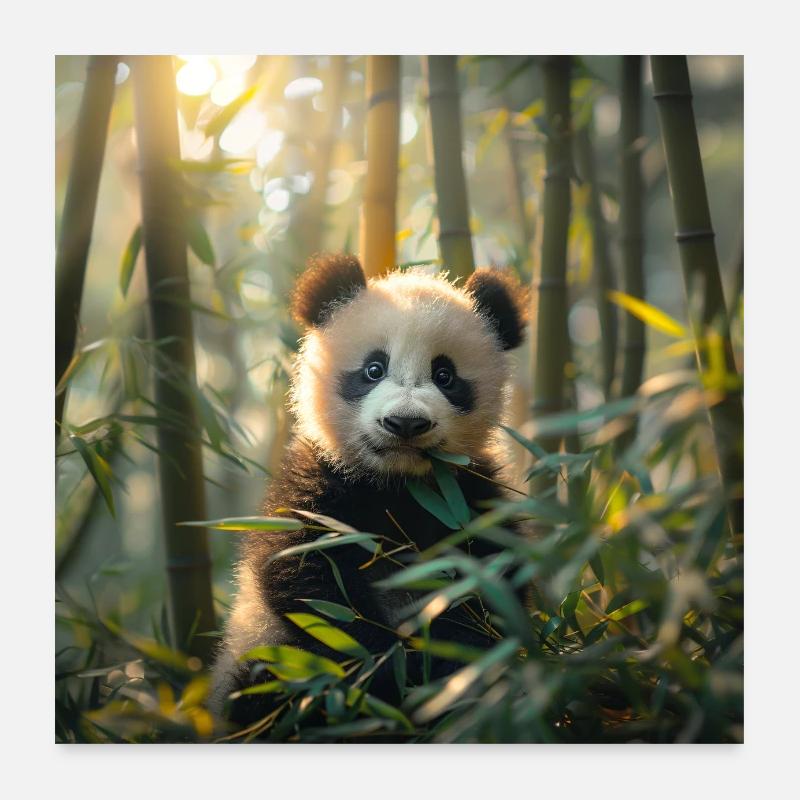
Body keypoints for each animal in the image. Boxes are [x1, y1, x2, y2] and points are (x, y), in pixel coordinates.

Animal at [209, 253, 528, 723]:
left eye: (445, 375)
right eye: (373, 370)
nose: (405, 423)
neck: (396, 485)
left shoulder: (470, 496)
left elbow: (490, 589)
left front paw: (442, 672)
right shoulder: (318, 484)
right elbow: (312, 586)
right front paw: (387, 670)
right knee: (260, 686)